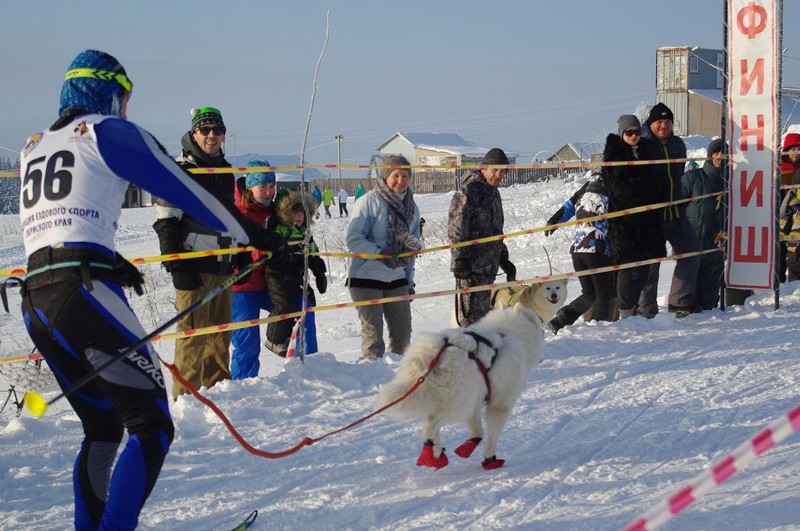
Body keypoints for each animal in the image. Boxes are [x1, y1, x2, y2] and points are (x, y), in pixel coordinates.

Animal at [378, 278, 564, 470]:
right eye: (540, 328)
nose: (541, 358)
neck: (507, 333)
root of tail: (433, 354)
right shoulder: (500, 403)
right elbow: (492, 434)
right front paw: (490, 458)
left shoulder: (477, 400)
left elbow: (478, 432)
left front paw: (468, 447)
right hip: (458, 401)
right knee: (430, 427)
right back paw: (431, 454)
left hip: (453, 397)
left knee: (432, 425)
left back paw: (437, 454)